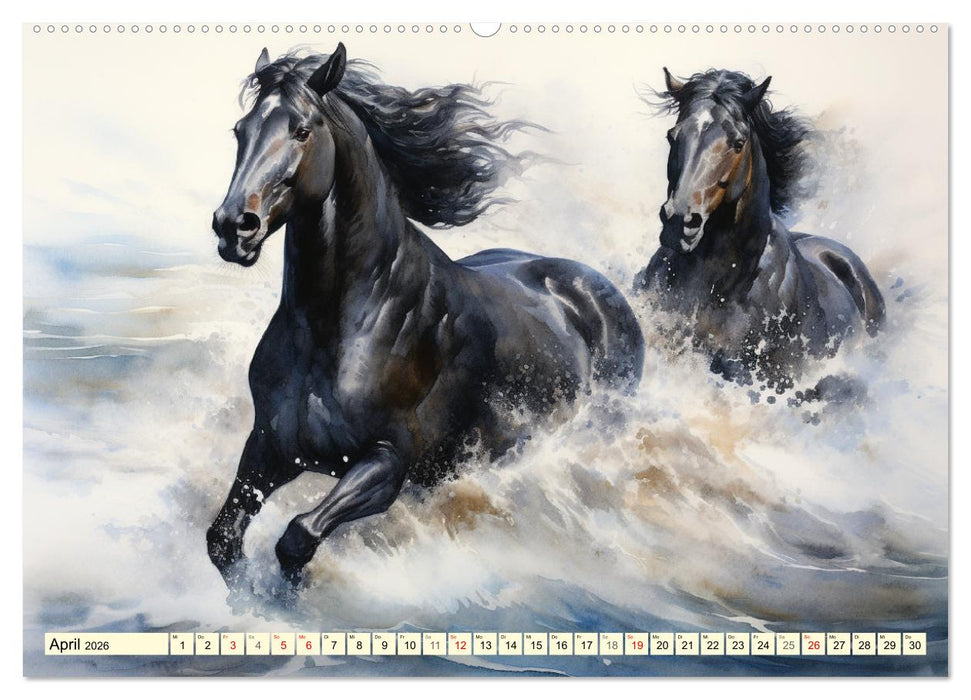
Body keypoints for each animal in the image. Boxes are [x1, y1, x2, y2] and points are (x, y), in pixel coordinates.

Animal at [206, 45, 645, 586]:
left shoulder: (388, 462)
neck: (348, 325)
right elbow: (223, 540)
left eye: (303, 130)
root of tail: (598, 289)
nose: (233, 228)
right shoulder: (270, 447)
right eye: (240, 130)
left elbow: (298, 536)